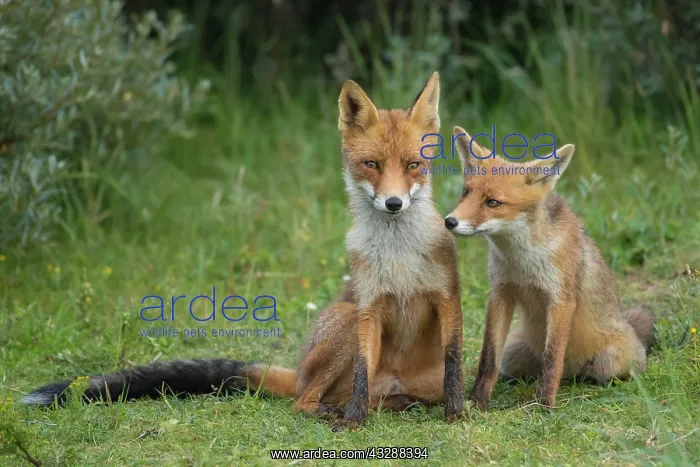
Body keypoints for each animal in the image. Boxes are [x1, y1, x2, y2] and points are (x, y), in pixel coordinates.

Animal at [21, 73, 465, 428]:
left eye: (413, 165)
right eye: (371, 164)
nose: (393, 203)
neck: (399, 256)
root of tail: (297, 371)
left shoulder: (447, 298)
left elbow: (454, 362)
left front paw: (457, 412)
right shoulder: (369, 307)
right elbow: (359, 376)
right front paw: (354, 422)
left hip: (409, 377)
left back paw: (400, 405)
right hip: (345, 319)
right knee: (306, 401)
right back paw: (337, 411)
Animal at [443, 126, 655, 409]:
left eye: (493, 202)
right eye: (466, 193)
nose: (450, 221)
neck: (522, 262)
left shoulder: (560, 300)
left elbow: (552, 359)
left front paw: (544, 406)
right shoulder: (500, 294)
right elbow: (487, 359)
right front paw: (477, 402)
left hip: (609, 362)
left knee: (584, 372)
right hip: (513, 353)